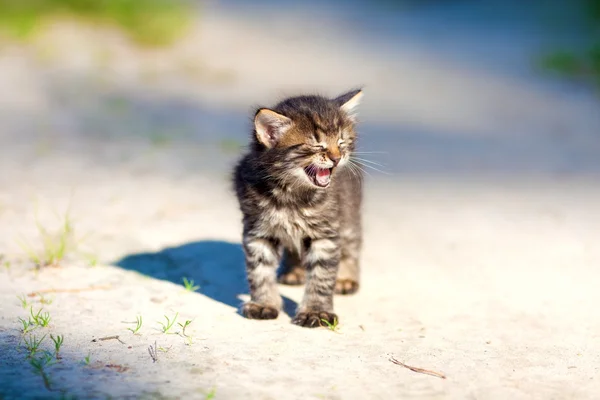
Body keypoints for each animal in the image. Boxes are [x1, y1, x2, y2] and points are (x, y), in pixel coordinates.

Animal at [232, 88, 364, 328]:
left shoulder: (325, 234)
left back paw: (346, 278)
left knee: (352, 247)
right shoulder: (258, 231)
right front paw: (263, 304)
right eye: (317, 145)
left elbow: (322, 276)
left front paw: (316, 311)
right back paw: (295, 272)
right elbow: (260, 272)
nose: (337, 158)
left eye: (341, 142)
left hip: (350, 217)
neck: (291, 196)